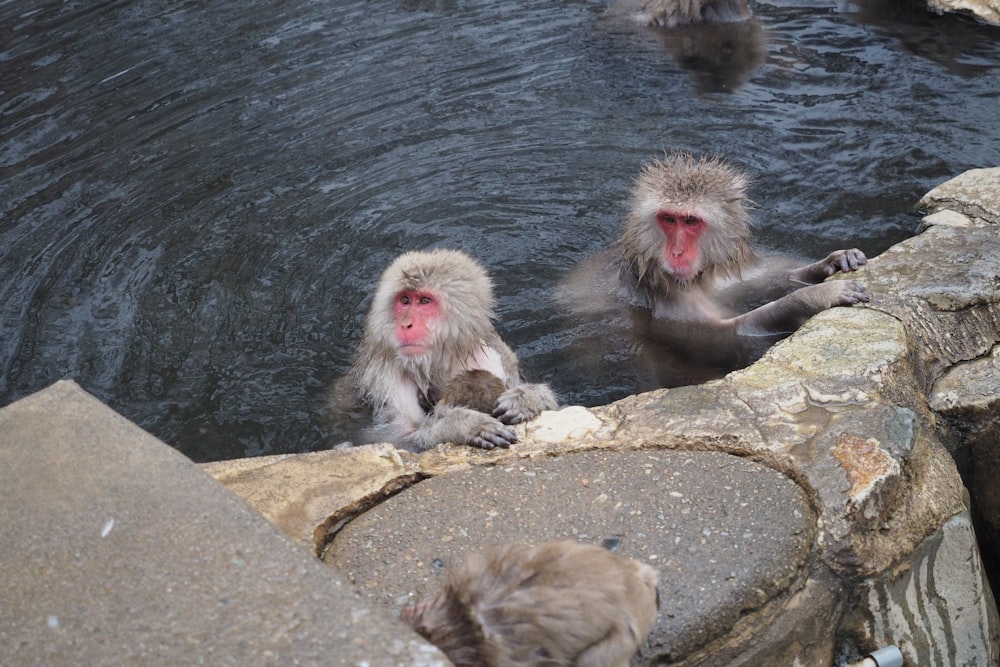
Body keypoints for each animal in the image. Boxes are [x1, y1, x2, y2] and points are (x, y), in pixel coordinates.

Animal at [560, 152, 872, 388]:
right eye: (668, 220)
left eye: (690, 221)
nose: (676, 253)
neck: (700, 277)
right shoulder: (668, 292)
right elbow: (723, 336)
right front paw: (815, 296)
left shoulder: (727, 272)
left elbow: (772, 278)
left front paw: (832, 262)